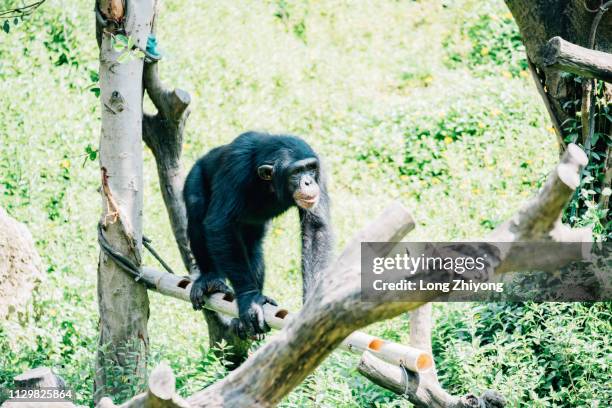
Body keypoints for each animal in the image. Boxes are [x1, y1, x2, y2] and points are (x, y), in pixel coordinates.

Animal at [183, 131, 332, 338]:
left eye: (310, 168)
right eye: (296, 172)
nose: (308, 182)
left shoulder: (321, 173)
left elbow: (315, 227)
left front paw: (311, 306)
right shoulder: (236, 167)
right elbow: (220, 223)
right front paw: (250, 301)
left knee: (253, 247)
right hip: (195, 174)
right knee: (197, 209)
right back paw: (209, 279)